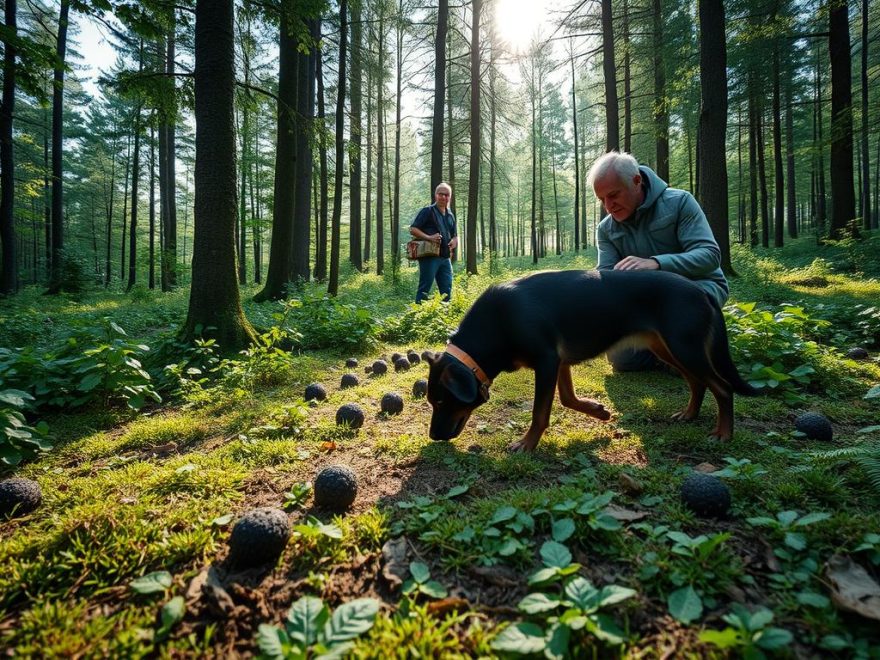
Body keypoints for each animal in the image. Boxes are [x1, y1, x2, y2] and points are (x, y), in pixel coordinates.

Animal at [426, 270, 756, 452]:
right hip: (668, 349)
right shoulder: (559, 363)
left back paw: (723, 434)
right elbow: (568, 399)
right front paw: (598, 411)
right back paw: (688, 415)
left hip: (685, 347)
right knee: (698, 383)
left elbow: (540, 413)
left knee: (722, 388)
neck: (498, 322)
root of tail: (700, 290)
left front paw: (527, 444)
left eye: (441, 401)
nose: (433, 437)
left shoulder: (547, 361)